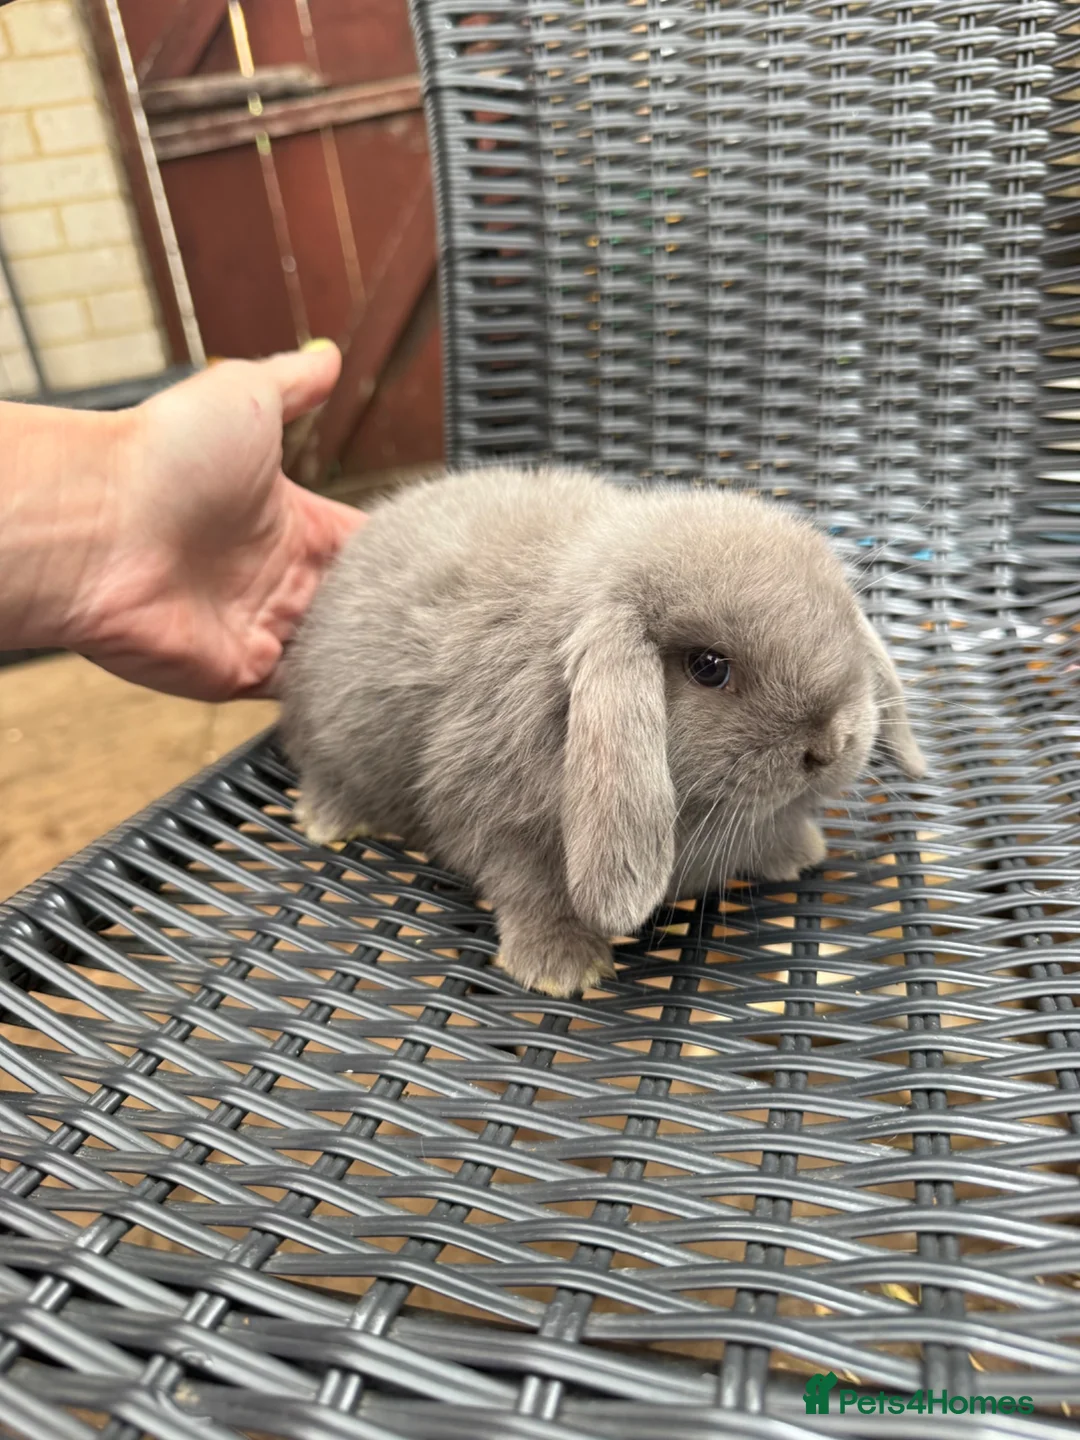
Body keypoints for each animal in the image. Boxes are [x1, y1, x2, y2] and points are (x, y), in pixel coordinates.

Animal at [281, 466, 925, 997]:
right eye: (708, 667)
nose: (830, 747)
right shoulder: (492, 819)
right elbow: (528, 886)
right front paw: (562, 968)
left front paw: (796, 853)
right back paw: (327, 823)